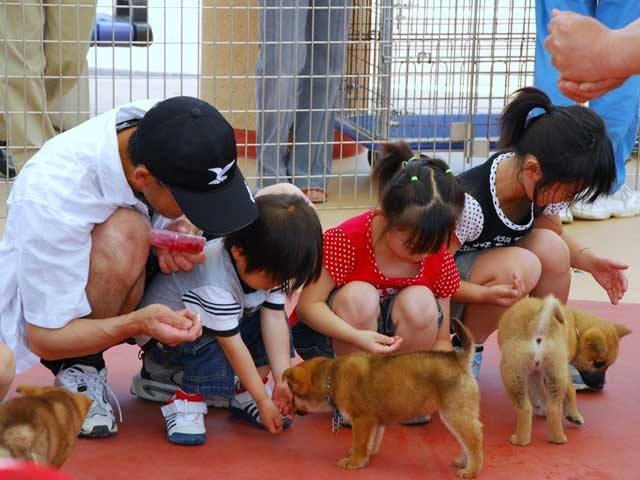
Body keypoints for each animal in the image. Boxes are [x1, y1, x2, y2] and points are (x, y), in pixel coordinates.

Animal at [282, 320, 482, 478]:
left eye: (293, 394)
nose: (291, 409)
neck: (332, 377)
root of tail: (458, 358)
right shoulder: (373, 422)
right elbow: (370, 441)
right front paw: (366, 455)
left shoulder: (362, 420)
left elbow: (360, 442)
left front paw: (354, 461)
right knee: (467, 440)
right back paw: (463, 462)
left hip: (455, 413)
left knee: (474, 440)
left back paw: (471, 470)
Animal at [500, 296, 632, 446]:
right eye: (598, 364)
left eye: (606, 366)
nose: (600, 386)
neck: (575, 327)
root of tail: (538, 325)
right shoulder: (546, 371)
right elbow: (560, 390)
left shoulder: (542, 372)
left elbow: (565, 391)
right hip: (553, 375)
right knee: (553, 409)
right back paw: (557, 438)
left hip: (513, 376)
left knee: (525, 409)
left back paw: (520, 440)